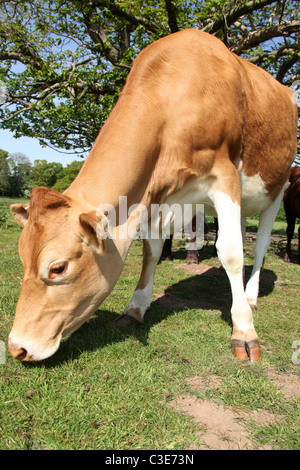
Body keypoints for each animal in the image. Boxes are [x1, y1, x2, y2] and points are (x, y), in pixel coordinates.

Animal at [8, 29, 296, 364]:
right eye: (22, 258)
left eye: (58, 268)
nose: (16, 347)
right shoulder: (156, 195)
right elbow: (151, 251)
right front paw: (136, 307)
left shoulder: (224, 175)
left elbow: (231, 253)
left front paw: (245, 331)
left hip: (278, 188)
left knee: (260, 244)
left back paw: (249, 297)